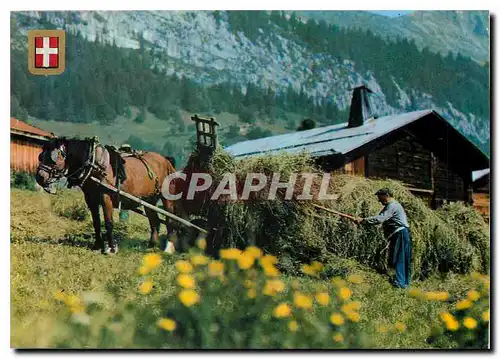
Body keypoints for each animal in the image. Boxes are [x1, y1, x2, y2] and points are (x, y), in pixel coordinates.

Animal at [34, 136, 178, 255]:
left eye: (53, 158)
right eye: (40, 156)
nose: (39, 177)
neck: (95, 165)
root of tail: (166, 160)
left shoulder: (106, 197)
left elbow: (108, 222)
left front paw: (111, 248)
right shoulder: (90, 199)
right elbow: (96, 222)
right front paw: (98, 245)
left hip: (167, 197)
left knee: (170, 220)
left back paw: (168, 247)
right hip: (149, 199)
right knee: (154, 220)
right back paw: (152, 245)